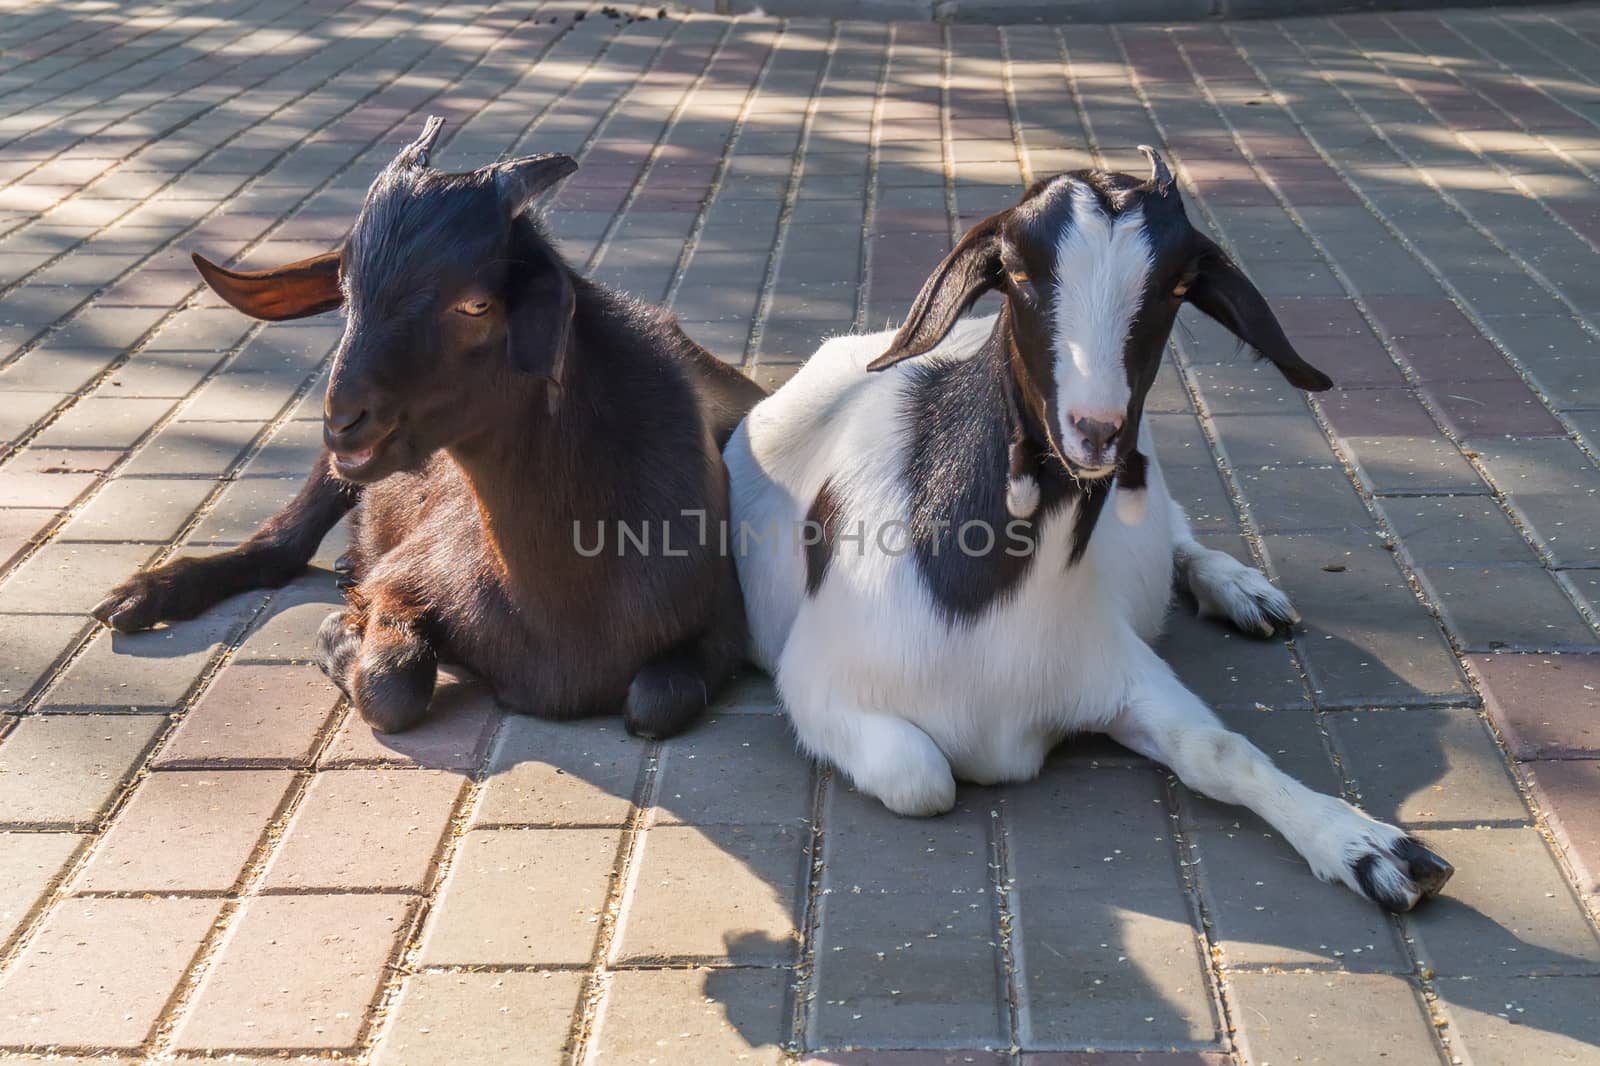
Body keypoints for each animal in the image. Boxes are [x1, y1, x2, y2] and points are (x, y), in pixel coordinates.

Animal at [732, 149, 1459, 909]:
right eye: (1017, 271)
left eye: (1178, 285)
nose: (1098, 430)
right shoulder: (816, 686)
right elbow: (921, 777)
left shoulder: (1113, 663)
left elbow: (1217, 751)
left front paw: (1369, 848)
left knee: (1177, 533)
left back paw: (1241, 590)